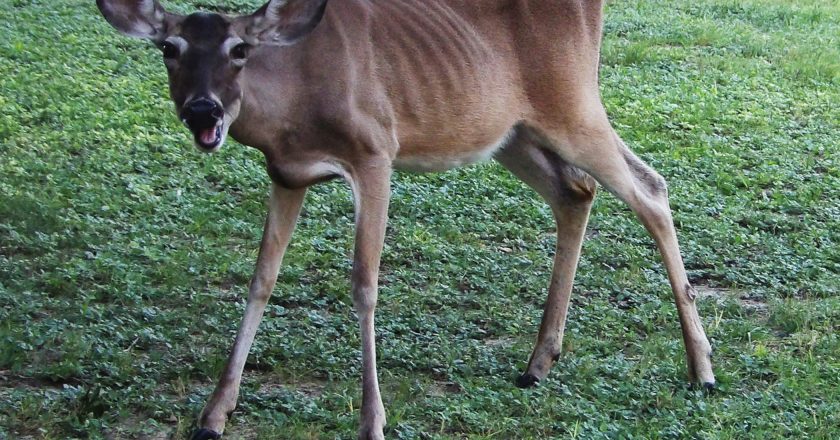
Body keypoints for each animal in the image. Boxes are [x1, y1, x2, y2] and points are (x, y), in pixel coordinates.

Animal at [97, 0, 716, 440]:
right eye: (169, 47)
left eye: (239, 48)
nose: (203, 110)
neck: (292, 107)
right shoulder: (287, 175)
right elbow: (261, 280)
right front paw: (213, 414)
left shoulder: (375, 150)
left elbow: (365, 282)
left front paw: (372, 420)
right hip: (511, 132)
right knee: (575, 192)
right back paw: (538, 362)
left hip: (573, 101)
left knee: (650, 188)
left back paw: (702, 368)